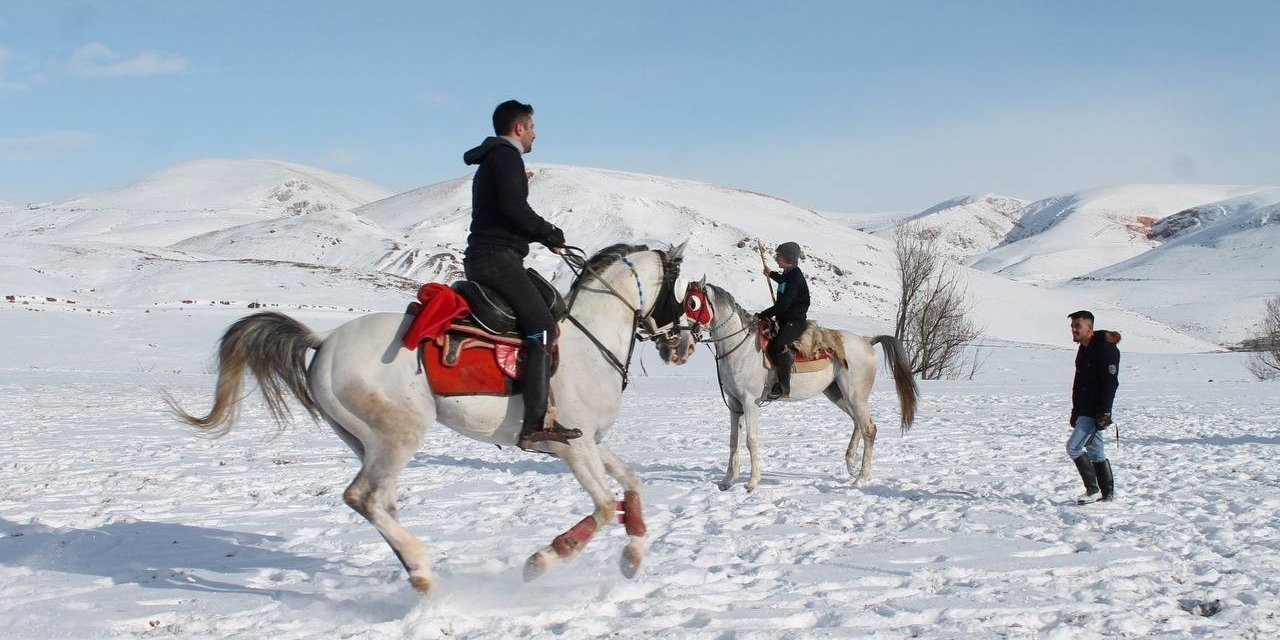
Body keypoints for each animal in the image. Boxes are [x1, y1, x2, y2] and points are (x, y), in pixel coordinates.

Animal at [171, 241, 691, 591]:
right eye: (681, 290)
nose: (682, 345)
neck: (589, 342)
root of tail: (325, 342)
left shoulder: (590, 442)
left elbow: (632, 483)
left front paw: (633, 555)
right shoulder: (573, 446)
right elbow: (603, 506)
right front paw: (544, 560)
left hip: (369, 442)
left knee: (382, 502)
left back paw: (416, 571)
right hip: (399, 435)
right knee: (364, 498)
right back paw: (422, 571)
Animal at [655, 279, 916, 488]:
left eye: (693, 304)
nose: (680, 342)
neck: (740, 346)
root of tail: (867, 341)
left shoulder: (750, 402)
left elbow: (750, 440)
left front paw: (752, 482)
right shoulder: (734, 403)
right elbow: (733, 441)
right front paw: (728, 481)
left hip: (854, 395)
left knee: (869, 429)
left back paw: (861, 478)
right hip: (838, 395)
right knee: (859, 425)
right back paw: (851, 464)